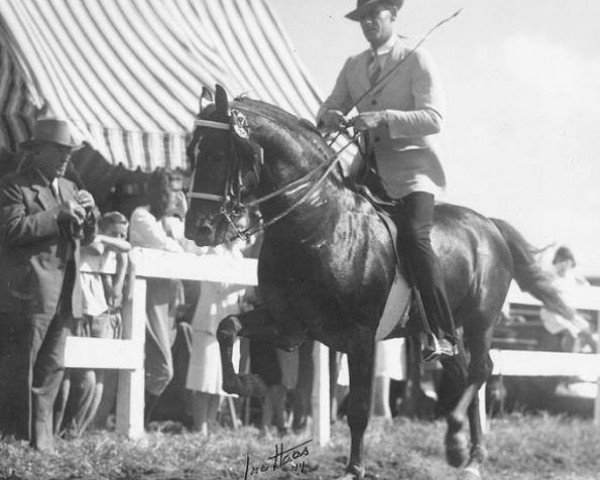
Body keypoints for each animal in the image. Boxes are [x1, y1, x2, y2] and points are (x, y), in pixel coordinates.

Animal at [185, 86, 576, 480]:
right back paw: (459, 447)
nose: (197, 229)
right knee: (462, 373)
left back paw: (471, 456)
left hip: (481, 323)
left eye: (218, 153)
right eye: (190, 153)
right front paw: (251, 385)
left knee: (480, 371)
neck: (317, 225)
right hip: (447, 330)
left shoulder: (360, 338)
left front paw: (354, 468)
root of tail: (489, 225)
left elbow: (358, 408)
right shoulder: (289, 326)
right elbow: (227, 328)